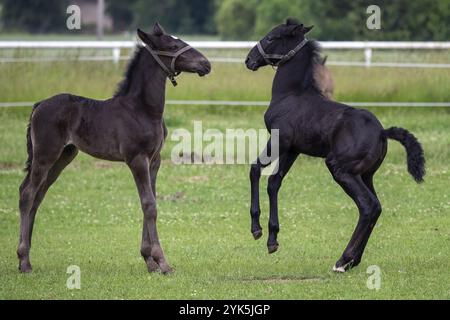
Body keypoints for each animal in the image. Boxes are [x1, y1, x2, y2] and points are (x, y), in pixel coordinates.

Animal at [18, 23, 212, 272]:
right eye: (172, 46)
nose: (206, 64)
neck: (142, 109)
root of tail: (39, 104)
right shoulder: (137, 159)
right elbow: (149, 204)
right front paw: (161, 261)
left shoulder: (154, 160)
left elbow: (150, 201)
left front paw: (149, 260)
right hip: (45, 154)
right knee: (27, 194)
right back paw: (23, 260)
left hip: (64, 156)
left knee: (38, 195)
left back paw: (26, 258)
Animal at [246, 18, 426, 272]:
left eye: (271, 37)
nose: (249, 60)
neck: (291, 94)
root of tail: (382, 132)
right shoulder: (293, 149)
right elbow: (274, 182)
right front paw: (272, 240)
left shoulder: (279, 140)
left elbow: (255, 170)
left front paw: (256, 229)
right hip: (366, 175)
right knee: (376, 207)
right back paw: (353, 260)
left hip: (340, 169)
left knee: (368, 206)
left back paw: (343, 260)